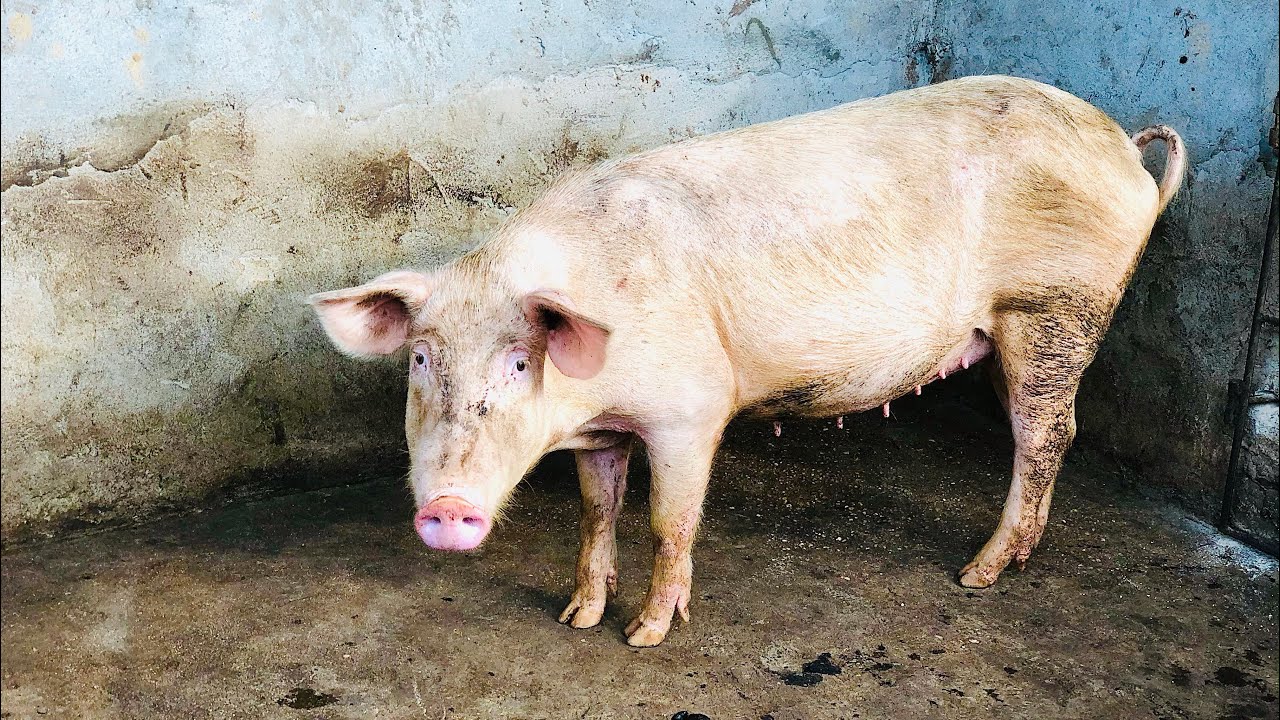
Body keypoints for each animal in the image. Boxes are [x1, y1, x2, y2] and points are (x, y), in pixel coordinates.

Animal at [310, 75, 1184, 647]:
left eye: (521, 364)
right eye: (422, 361)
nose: (446, 507)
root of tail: (1121, 145)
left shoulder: (691, 408)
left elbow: (668, 520)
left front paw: (643, 634)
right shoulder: (602, 431)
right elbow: (597, 510)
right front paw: (577, 616)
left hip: (1055, 308)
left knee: (1045, 435)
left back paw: (977, 574)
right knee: (1056, 433)